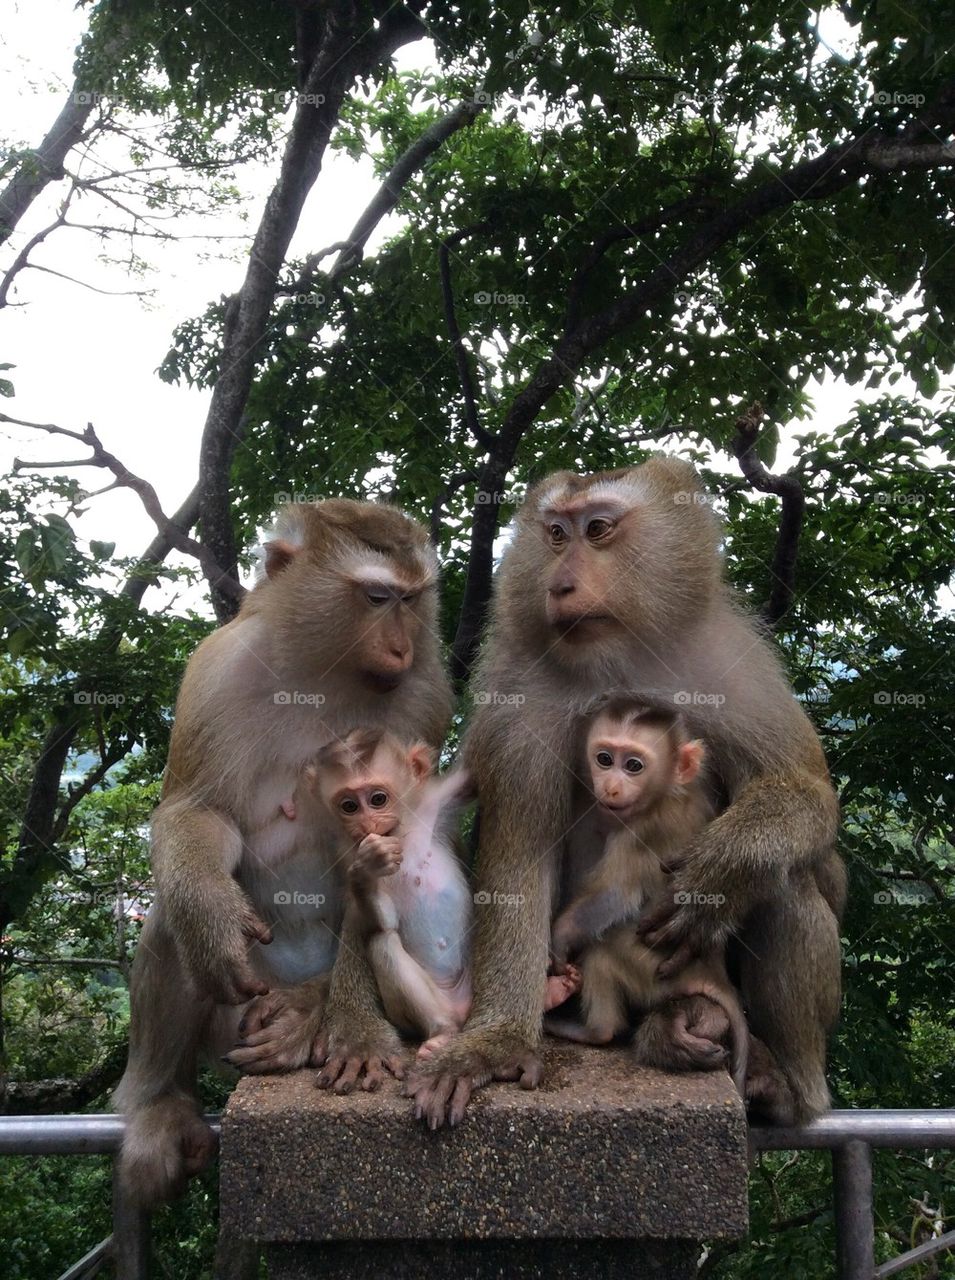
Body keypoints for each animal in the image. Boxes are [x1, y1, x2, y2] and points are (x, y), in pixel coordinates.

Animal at [114, 499, 453, 1204]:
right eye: (377, 597)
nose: (402, 646)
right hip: (234, 1013)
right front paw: (211, 913)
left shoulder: (425, 695)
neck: (322, 670)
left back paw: (305, 1017)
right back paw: (158, 1103)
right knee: (170, 921)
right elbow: (197, 811)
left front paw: (339, 1025)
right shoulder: (219, 667)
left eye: (412, 599)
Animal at [544, 697, 748, 1096]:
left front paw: (558, 940)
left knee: (603, 951)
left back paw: (595, 1031)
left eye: (634, 766)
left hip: (651, 969)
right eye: (604, 758)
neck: (668, 795)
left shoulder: (641, 830)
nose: (610, 787)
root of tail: (713, 973)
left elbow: (615, 895)